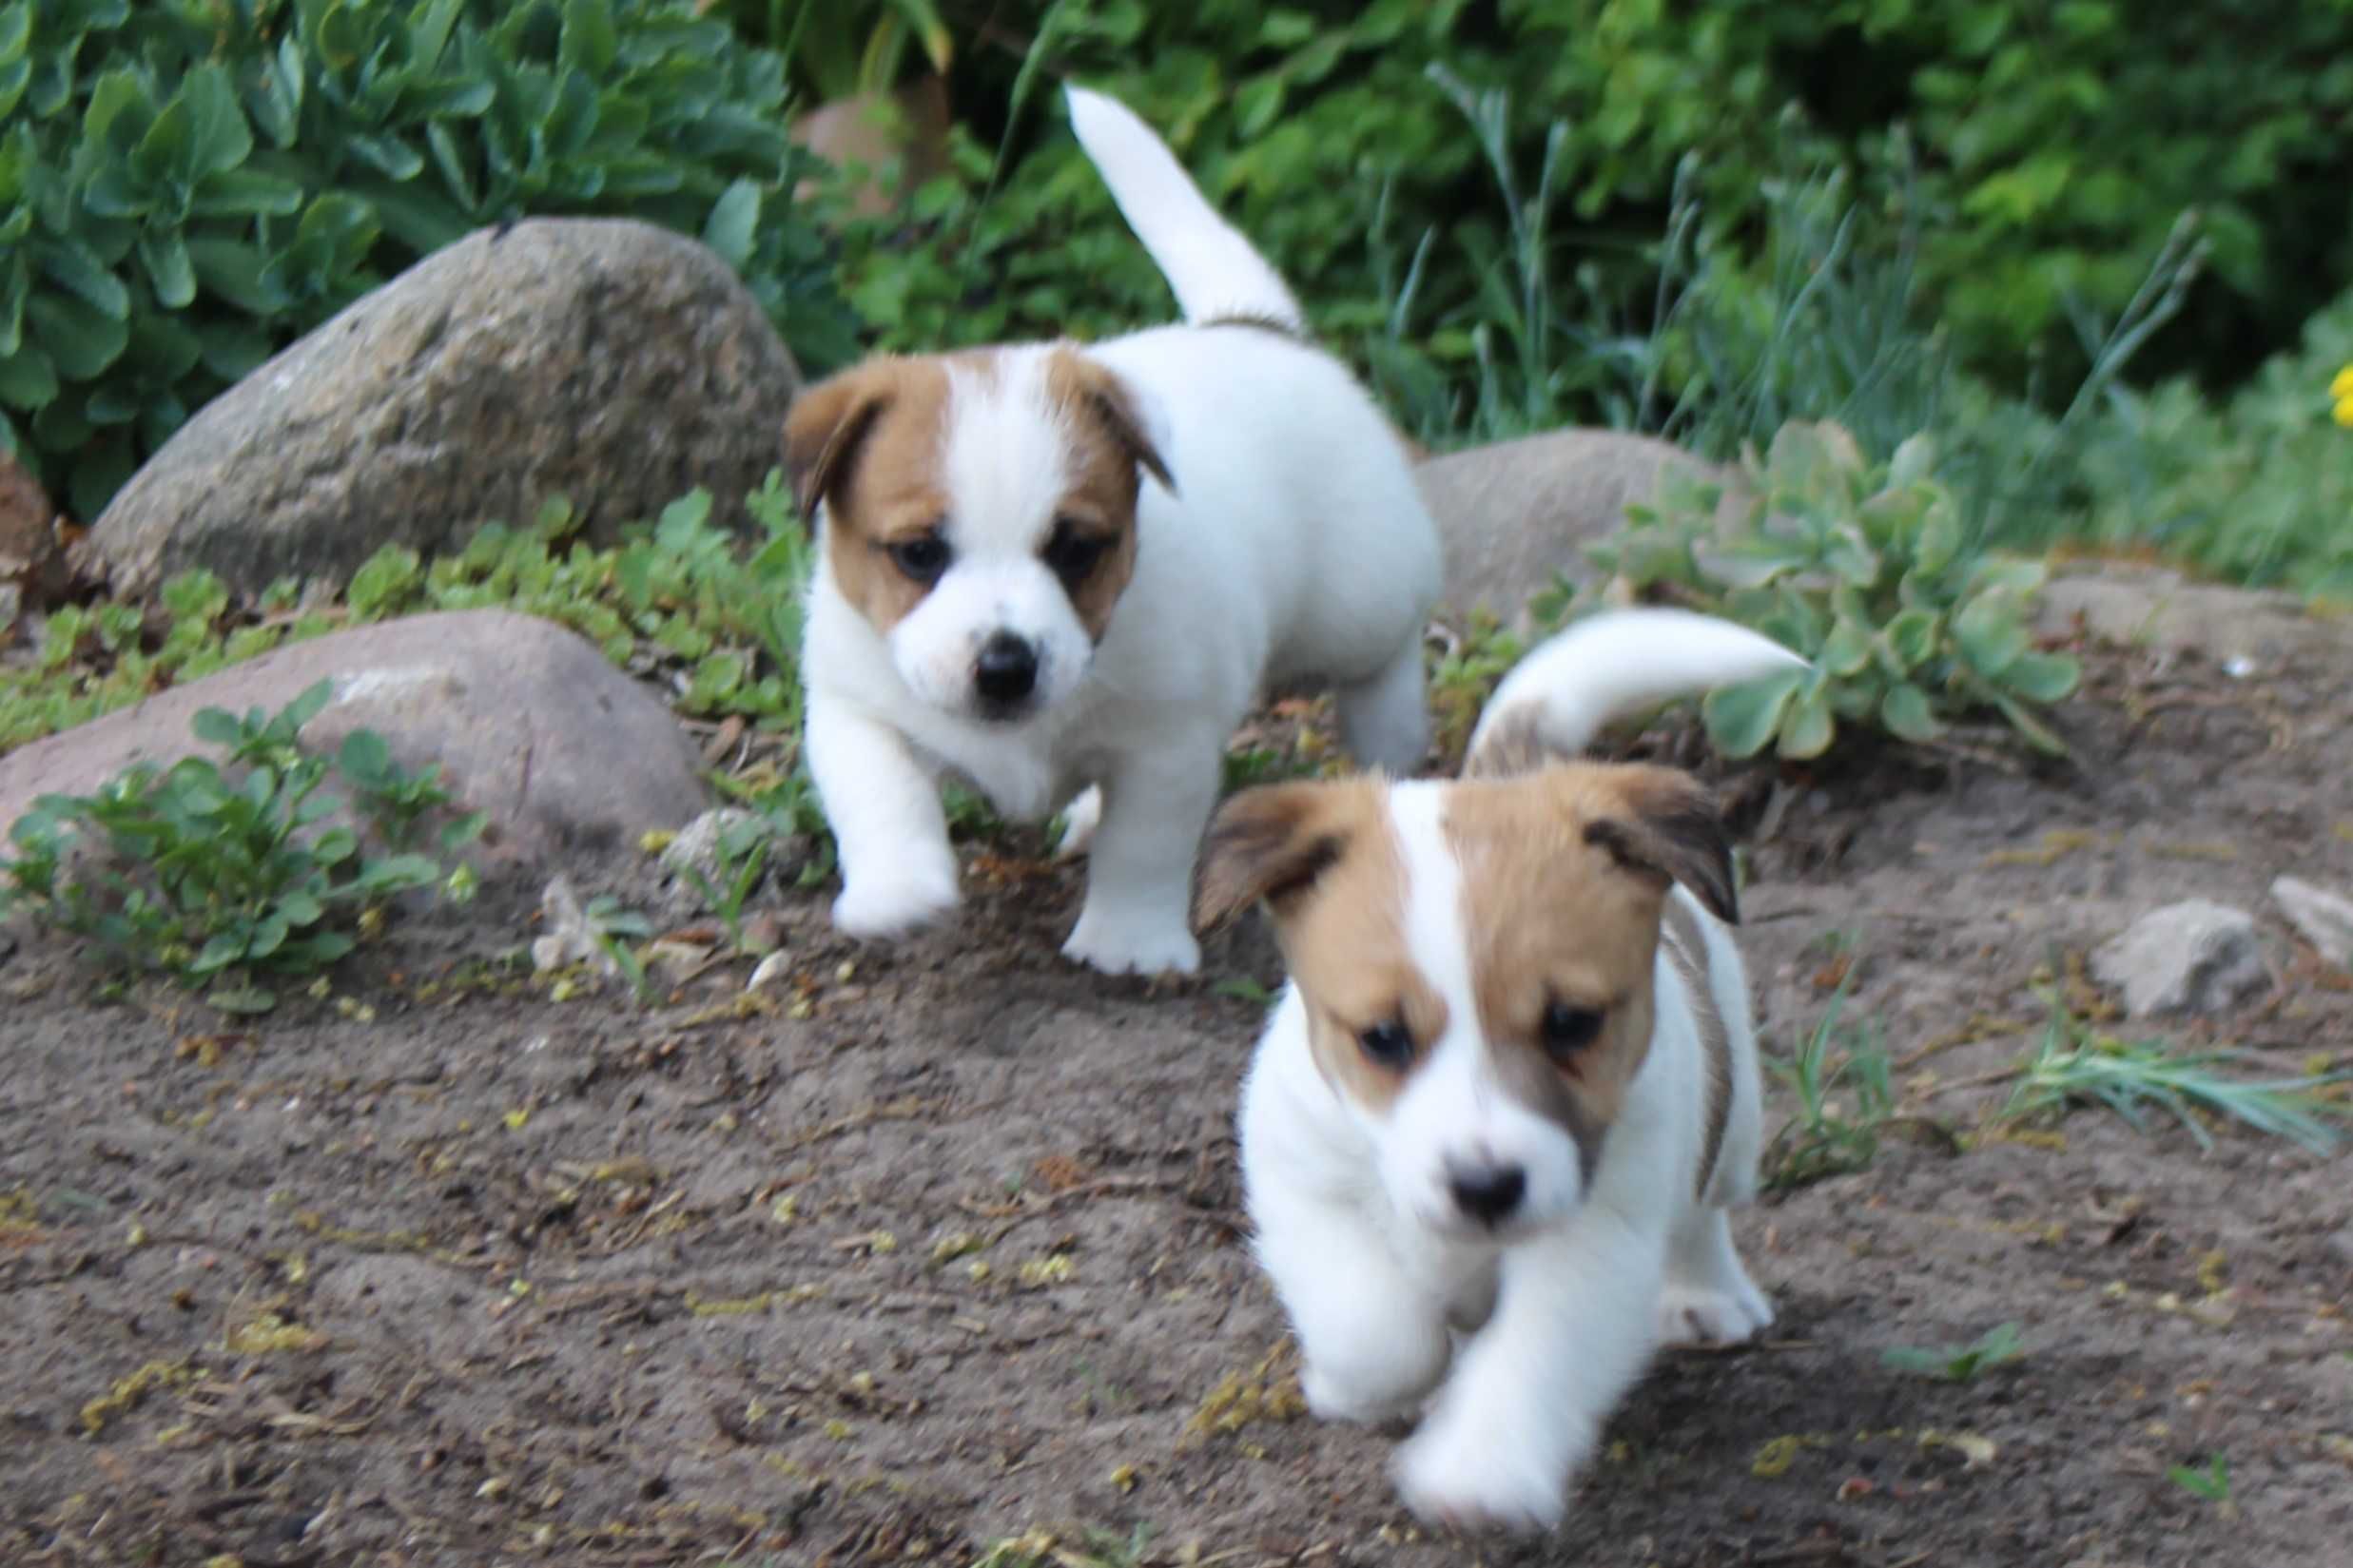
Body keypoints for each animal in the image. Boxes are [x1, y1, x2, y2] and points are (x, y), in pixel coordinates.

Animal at [781, 88, 1440, 982]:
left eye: (1074, 550)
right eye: (919, 553)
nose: (1005, 667)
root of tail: (1254, 326)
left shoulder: (1166, 746)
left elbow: (1144, 847)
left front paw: (1128, 942)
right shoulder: (854, 704)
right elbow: (878, 790)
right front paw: (897, 890)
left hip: (1357, 599)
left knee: (1385, 653)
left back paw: (1390, 733)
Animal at [1204, 610, 1807, 1532]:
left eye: (1573, 1022)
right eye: (1382, 1036)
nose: (1485, 1187)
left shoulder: (1590, 1237)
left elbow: (1530, 1357)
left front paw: (1479, 1468)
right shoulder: (1302, 1179)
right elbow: (1377, 1330)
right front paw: (1355, 1388)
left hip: (1732, 1116)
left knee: (1707, 1203)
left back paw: (1708, 1296)